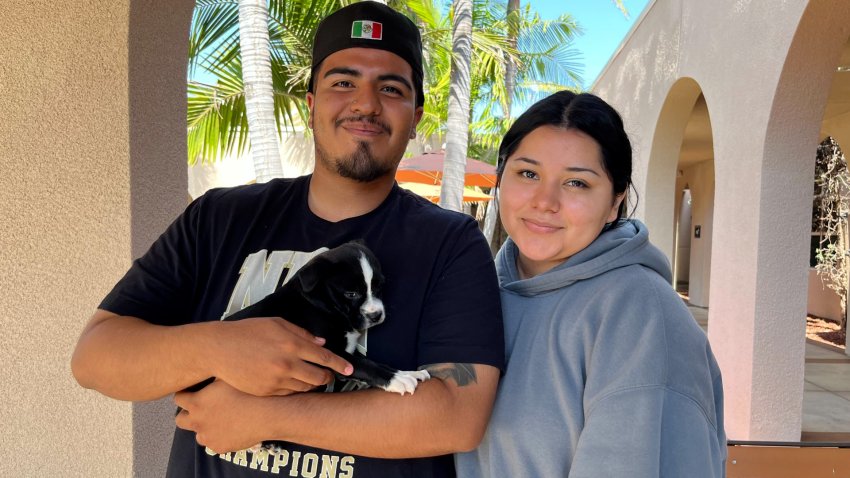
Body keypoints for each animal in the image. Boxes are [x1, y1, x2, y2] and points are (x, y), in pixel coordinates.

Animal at [211, 243, 428, 396]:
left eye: (379, 287)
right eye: (351, 294)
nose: (376, 315)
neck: (321, 304)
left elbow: (371, 361)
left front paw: (408, 372)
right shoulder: (326, 352)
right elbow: (364, 364)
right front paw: (396, 378)